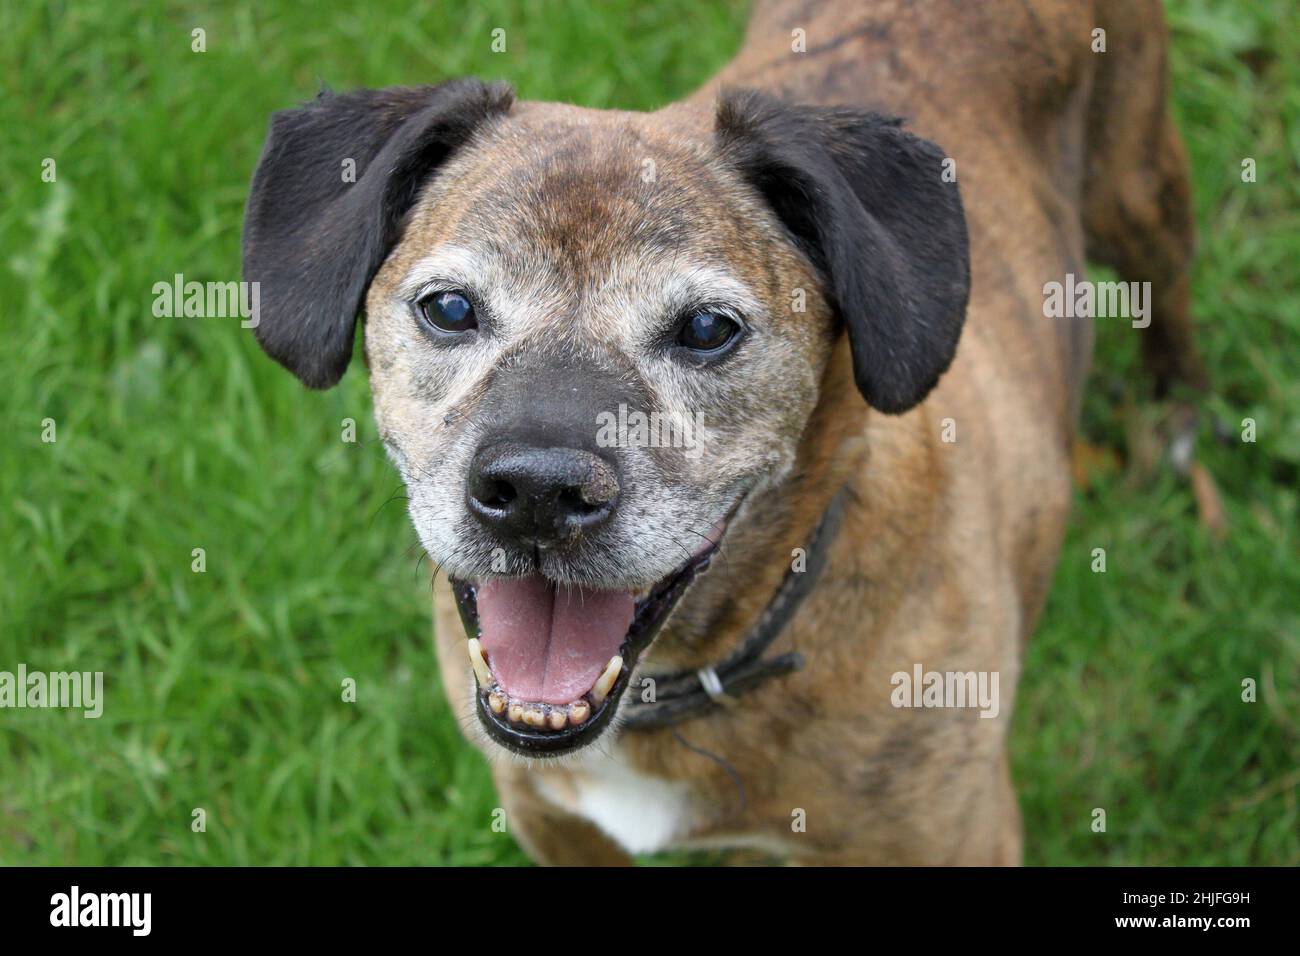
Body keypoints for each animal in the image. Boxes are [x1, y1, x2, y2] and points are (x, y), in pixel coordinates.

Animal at [241, 0, 1206, 868]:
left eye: (708, 329)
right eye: (448, 309)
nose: (536, 493)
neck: (681, 681)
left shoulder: (958, 840)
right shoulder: (556, 826)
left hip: (1136, 184)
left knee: (1168, 283)